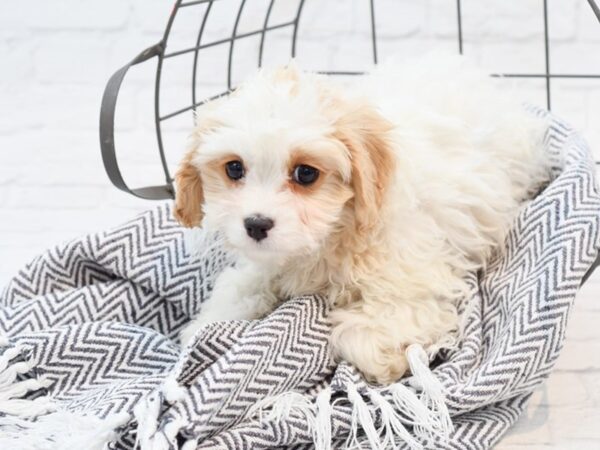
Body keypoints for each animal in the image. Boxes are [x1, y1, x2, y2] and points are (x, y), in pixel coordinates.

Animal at [172, 56, 548, 384]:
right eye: (234, 168)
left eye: (306, 173)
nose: (256, 224)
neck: (335, 235)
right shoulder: (266, 264)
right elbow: (239, 288)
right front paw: (206, 324)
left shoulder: (413, 280)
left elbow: (364, 335)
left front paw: (386, 362)